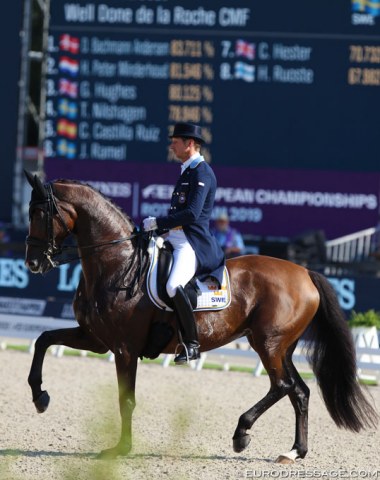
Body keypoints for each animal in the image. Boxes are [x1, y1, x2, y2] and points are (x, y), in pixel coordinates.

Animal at [23, 172, 378, 462]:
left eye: (39, 213)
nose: (32, 263)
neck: (117, 263)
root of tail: (305, 272)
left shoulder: (124, 349)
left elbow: (126, 400)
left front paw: (121, 449)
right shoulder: (96, 339)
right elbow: (43, 339)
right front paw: (40, 397)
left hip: (268, 343)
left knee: (282, 385)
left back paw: (241, 434)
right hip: (281, 347)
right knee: (299, 391)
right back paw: (294, 452)